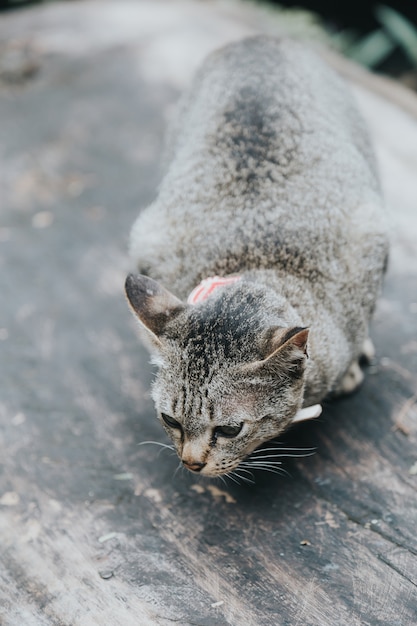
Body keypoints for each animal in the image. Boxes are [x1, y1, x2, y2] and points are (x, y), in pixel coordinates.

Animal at [125, 36, 388, 476]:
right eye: (170, 420)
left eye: (230, 429)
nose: (191, 463)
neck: (257, 258)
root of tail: (258, 39)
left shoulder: (371, 241)